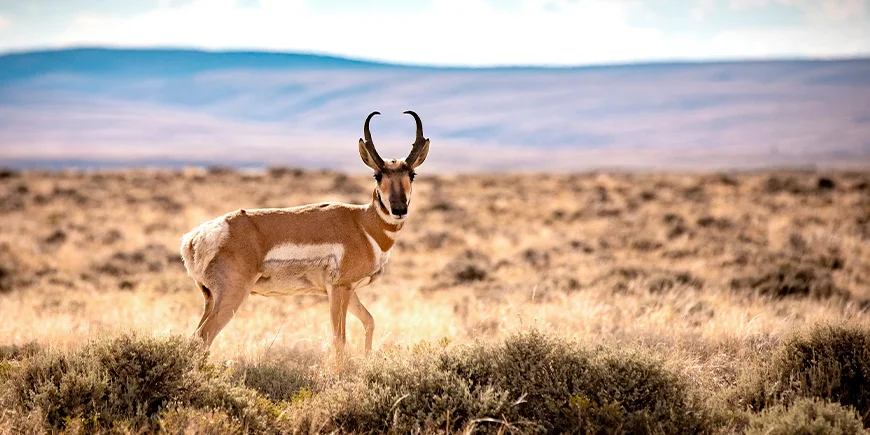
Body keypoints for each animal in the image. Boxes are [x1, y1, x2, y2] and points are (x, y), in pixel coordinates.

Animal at [179, 111, 430, 358]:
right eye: (378, 175)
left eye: (412, 174)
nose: (399, 209)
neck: (362, 224)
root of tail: (194, 238)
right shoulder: (339, 289)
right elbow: (339, 340)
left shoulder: (347, 290)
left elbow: (369, 321)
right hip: (232, 295)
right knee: (203, 337)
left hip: (210, 299)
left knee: (195, 337)